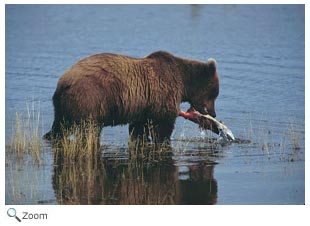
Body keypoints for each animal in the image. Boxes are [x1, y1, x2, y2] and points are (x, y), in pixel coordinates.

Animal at [44, 51, 219, 143]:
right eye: (214, 94)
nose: (213, 113)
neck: (183, 82)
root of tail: (64, 82)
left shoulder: (144, 104)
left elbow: (139, 127)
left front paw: (141, 138)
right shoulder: (163, 92)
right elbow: (163, 124)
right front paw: (162, 139)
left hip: (62, 106)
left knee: (59, 126)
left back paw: (50, 136)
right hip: (90, 98)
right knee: (89, 130)